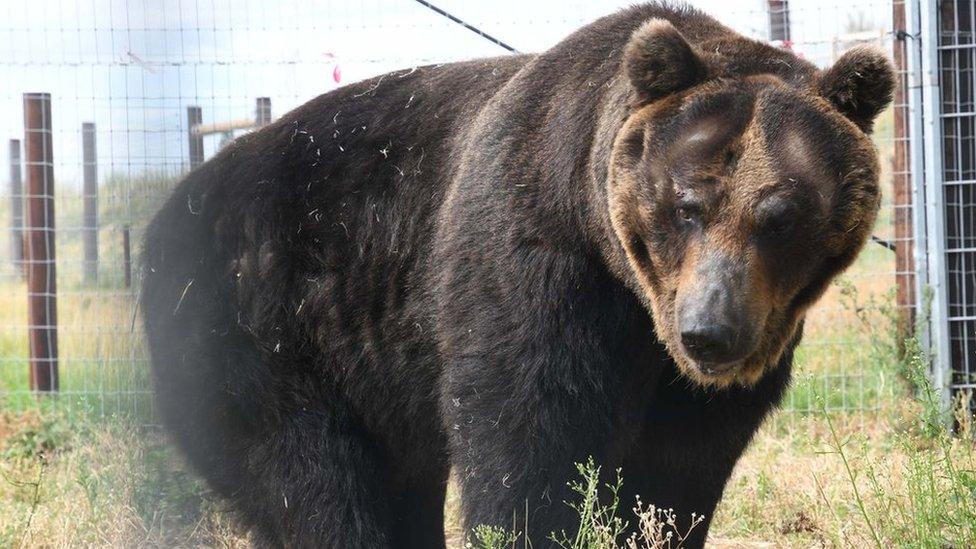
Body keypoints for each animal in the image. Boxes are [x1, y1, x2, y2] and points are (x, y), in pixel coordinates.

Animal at [141, 3, 896, 544]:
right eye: (688, 204)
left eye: (780, 215)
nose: (709, 332)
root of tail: (169, 212)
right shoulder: (535, 267)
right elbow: (529, 440)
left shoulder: (708, 368)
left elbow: (674, 476)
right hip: (261, 329)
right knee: (318, 483)